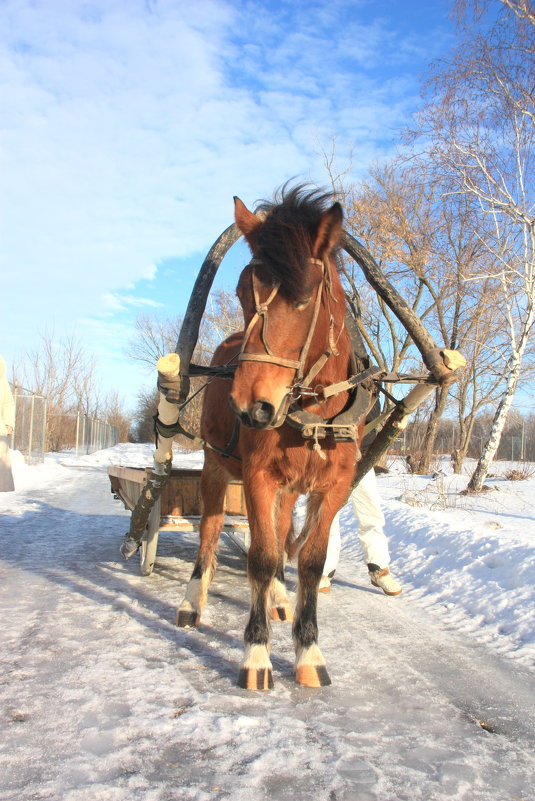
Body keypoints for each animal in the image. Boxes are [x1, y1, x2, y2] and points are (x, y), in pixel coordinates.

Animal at [176, 183, 364, 688]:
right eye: (244, 290)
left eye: (305, 297)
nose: (251, 406)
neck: (313, 417)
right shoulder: (258, 478)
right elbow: (259, 557)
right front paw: (256, 654)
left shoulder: (331, 487)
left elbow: (308, 560)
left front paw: (309, 651)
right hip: (216, 468)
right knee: (212, 529)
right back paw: (192, 600)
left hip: (289, 488)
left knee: (281, 533)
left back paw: (279, 597)